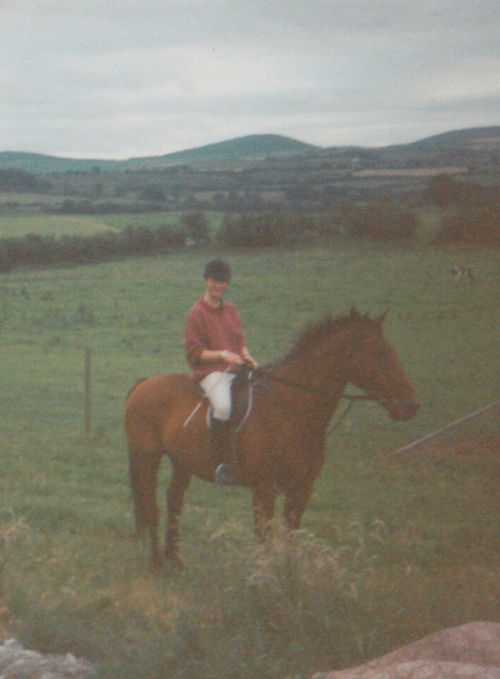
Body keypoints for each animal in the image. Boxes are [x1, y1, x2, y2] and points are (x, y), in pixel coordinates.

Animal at [124, 306, 418, 572]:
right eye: (381, 354)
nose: (411, 406)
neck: (292, 407)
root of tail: (143, 384)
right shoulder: (264, 487)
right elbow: (263, 536)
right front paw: (263, 577)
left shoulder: (302, 487)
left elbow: (290, 534)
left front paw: (289, 573)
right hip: (147, 458)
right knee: (150, 505)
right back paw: (157, 562)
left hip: (182, 462)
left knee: (173, 500)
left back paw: (175, 560)